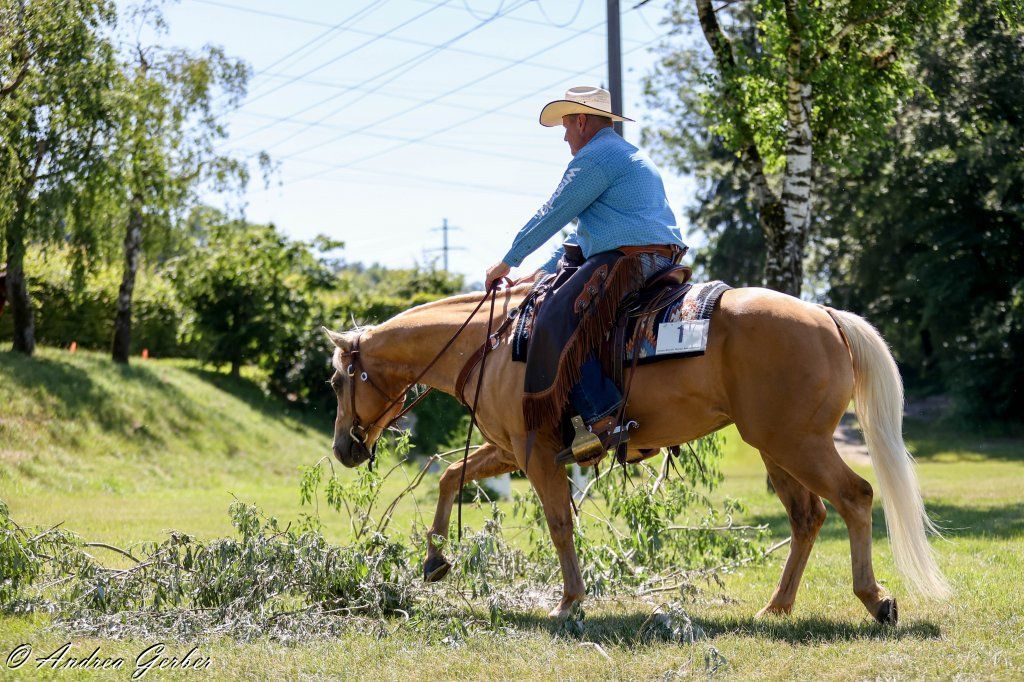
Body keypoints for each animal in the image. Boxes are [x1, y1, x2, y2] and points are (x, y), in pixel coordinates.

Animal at [322, 284, 949, 624]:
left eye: (336, 382)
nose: (343, 449)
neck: (494, 344)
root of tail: (825, 315)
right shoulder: (510, 450)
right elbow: (451, 475)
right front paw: (434, 561)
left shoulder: (535, 454)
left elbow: (558, 524)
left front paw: (570, 601)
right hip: (777, 447)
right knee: (808, 517)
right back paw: (777, 607)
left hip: (799, 443)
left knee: (855, 497)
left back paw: (875, 599)